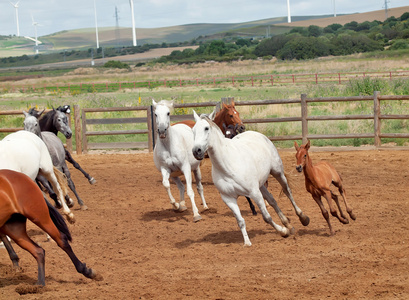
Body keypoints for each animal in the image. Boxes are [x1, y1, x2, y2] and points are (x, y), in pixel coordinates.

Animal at [191, 111, 310, 245]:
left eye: (206, 128)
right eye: (193, 130)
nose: (196, 151)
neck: (228, 164)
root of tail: (257, 134)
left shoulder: (254, 193)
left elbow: (266, 217)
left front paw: (283, 232)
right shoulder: (229, 199)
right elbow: (240, 221)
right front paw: (247, 242)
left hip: (277, 172)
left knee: (287, 191)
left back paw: (303, 218)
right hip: (261, 185)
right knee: (272, 200)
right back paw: (288, 225)